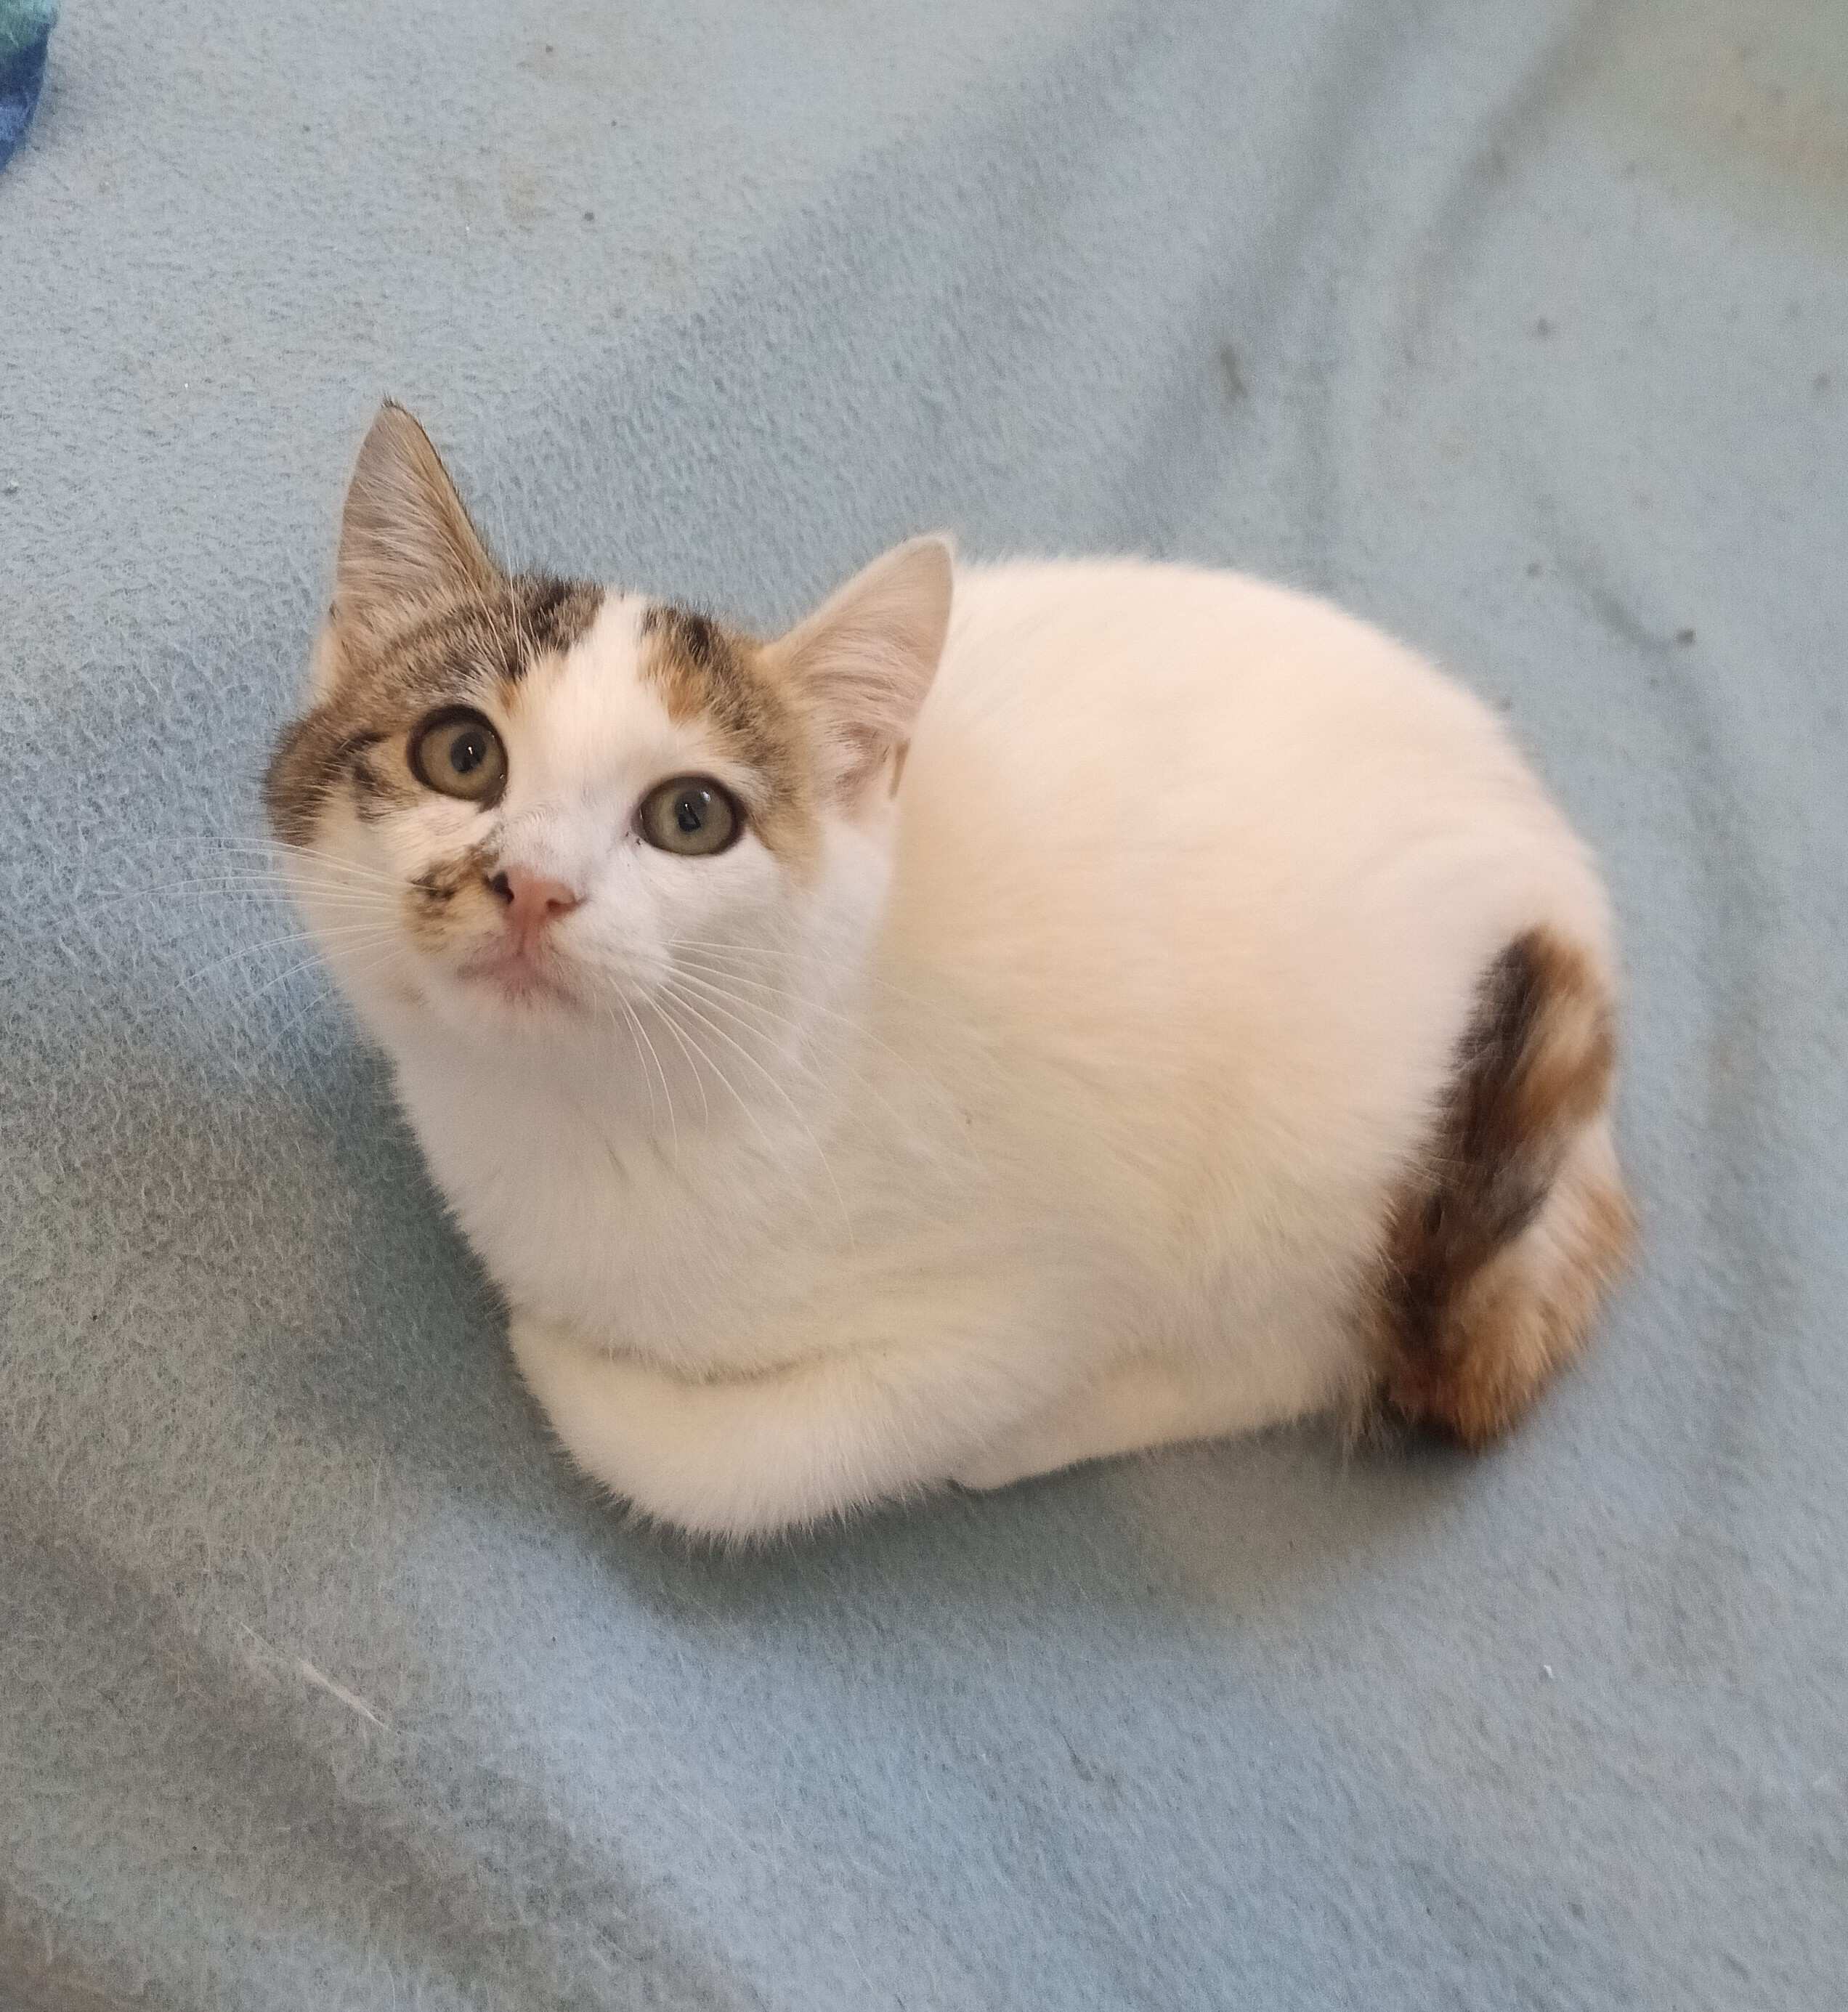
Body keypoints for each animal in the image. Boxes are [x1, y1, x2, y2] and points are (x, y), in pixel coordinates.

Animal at [265, 403, 1634, 1542]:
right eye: (461, 754)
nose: (537, 886)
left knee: (1294, 1355)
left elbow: (751, 1463)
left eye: (691, 818)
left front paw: (569, 1365)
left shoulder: (1033, 1294)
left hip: (1317, 1171)